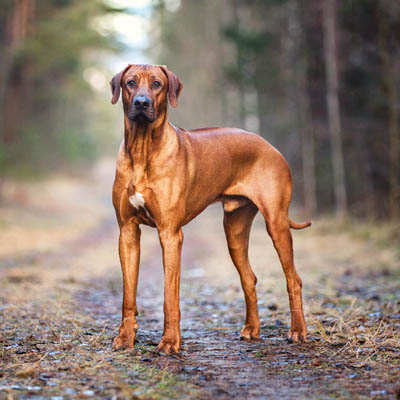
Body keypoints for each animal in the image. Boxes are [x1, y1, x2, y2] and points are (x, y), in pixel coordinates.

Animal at [110, 63, 312, 354]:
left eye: (157, 84)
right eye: (131, 82)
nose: (141, 102)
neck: (142, 149)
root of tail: (270, 146)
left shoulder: (170, 234)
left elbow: (169, 296)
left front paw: (170, 341)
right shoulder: (127, 232)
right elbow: (128, 295)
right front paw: (126, 337)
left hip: (277, 223)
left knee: (293, 279)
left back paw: (297, 331)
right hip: (234, 230)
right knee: (249, 277)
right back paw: (252, 329)